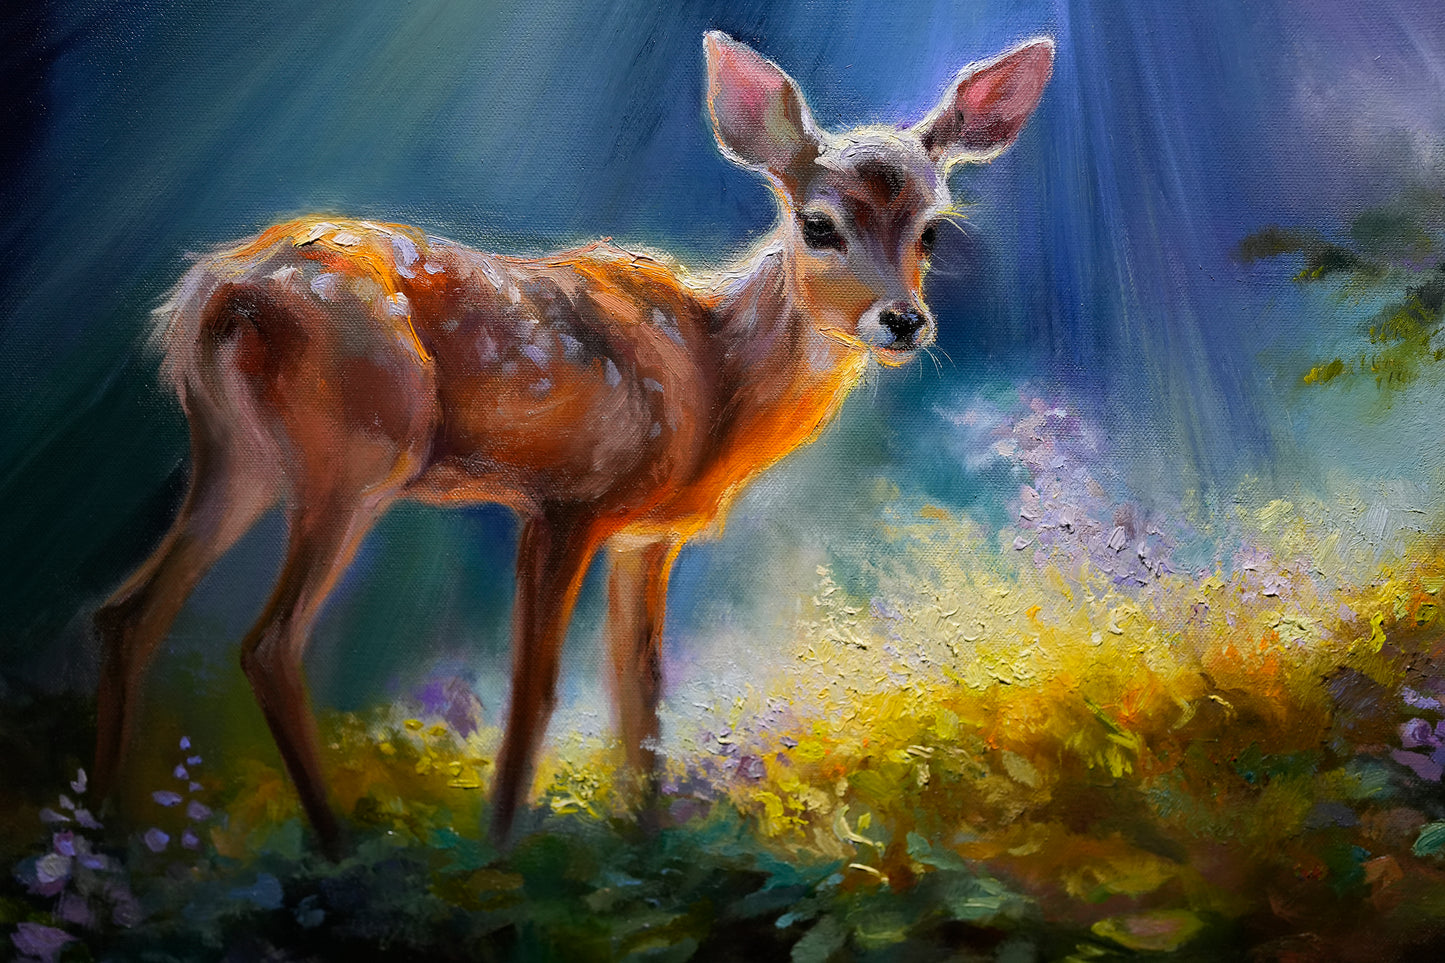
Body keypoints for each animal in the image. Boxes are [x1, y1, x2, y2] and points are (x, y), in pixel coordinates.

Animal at [91, 31, 1053, 853]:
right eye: (817, 225)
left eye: (932, 228)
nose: (903, 320)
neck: (713, 379)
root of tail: (217, 296)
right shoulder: (567, 501)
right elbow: (537, 684)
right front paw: (502, 847)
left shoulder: (646, 534)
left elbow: (640, 689)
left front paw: (646, 839)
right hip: (356, 455)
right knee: (269, 642)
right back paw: (335, 846)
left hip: (234, 456)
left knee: (126, 612)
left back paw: (106, 831)